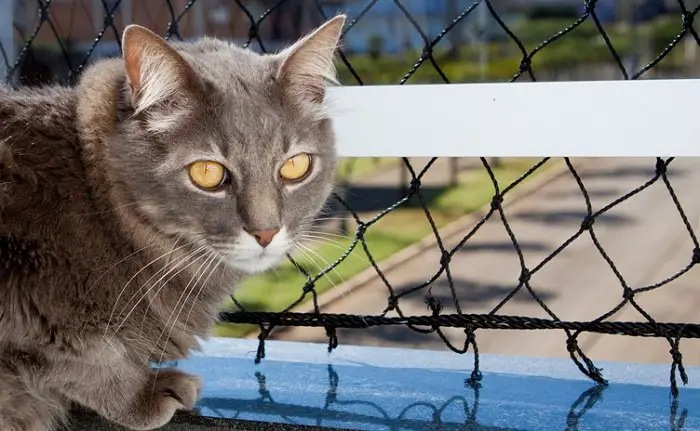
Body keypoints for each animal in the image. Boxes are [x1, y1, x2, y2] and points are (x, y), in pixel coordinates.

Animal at [0, 13, 348, 431]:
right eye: (207, 173)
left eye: (296, 166)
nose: (265, 232)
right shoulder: (31, 299)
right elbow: (84, 358)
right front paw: (144, 393)